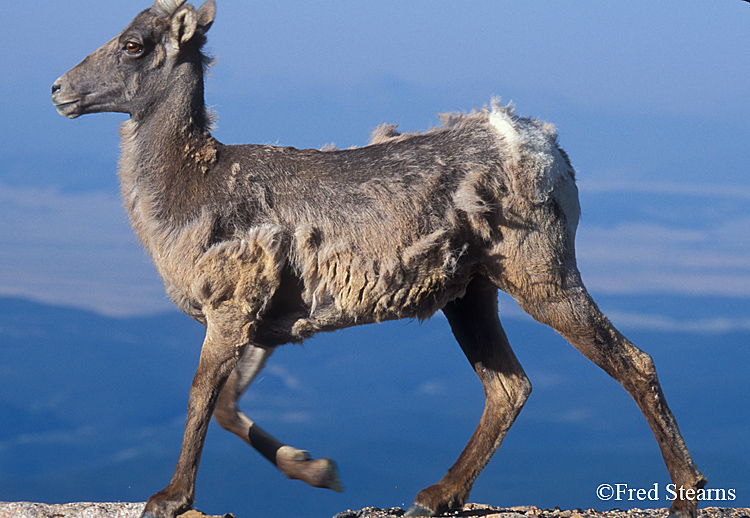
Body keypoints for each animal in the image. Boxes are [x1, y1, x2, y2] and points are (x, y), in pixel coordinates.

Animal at [50, 1, 708, 518]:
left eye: (133, 44)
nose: (58, 90)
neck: (190, 187)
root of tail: (543, 147)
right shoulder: (266, 328)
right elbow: (231, 408)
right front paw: (320, 471)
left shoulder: (231, 315)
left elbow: (200, 398)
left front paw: (169, 499)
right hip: (472, 298)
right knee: (509, 387)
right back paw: (435, 495)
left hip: (544, 282)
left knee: (633, 362)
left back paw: (684, 496)